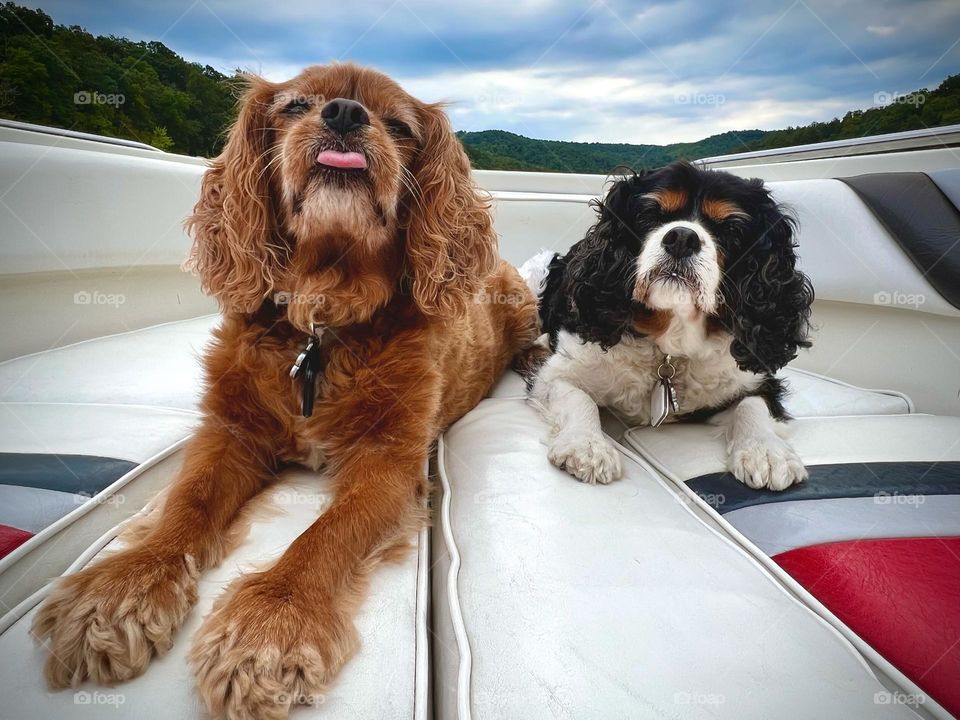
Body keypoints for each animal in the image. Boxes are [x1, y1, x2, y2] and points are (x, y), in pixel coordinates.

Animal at [31, 63, 540, 720]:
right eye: (297, 104)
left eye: (399, 124)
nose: (345, 113)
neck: (322, 315)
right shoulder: (233, 431)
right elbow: (189, 501)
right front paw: (124, 586)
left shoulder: (388, 463)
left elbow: (326, 535)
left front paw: (271, 621)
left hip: (522, 305)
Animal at [520, 162, 812, 490]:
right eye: (650, 214)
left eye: (731, 229)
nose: (682, 238)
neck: (670, 343)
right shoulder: (556, 374)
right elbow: (578, 397)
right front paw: (587, 446)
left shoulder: (757, 379)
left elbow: (753, 404)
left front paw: (767, 451)